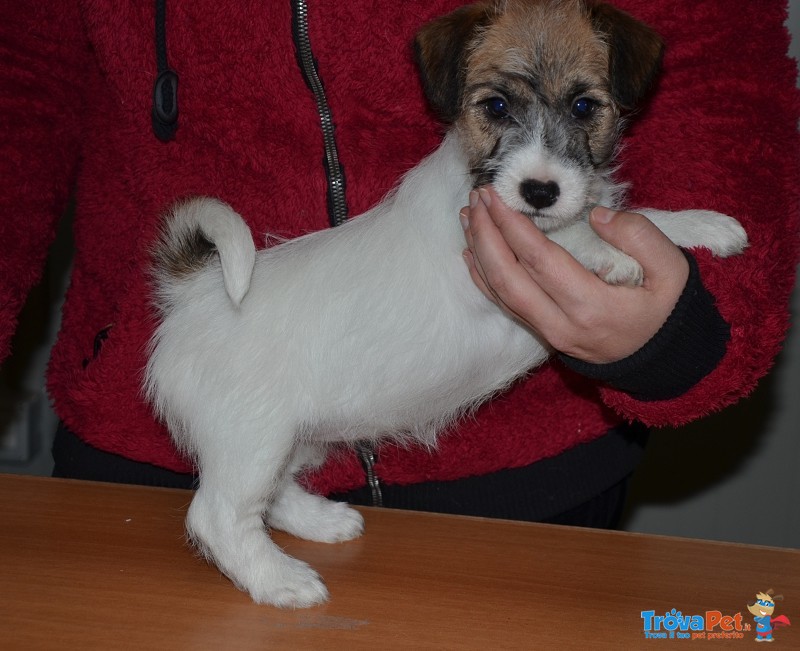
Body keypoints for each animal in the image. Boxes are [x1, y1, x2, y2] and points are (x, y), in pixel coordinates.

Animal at [144, 1, 752, 612]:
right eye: (496, 106)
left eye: (584, 106)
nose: (539, 192)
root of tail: (194, 292)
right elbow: (574, 237)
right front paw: (611, 253)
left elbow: (632, 219)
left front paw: (703, 226)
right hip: (251, 438)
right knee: (218, 516)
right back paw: (280, 581)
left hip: (292, 438)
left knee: (272, 496)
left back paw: (321, 521)